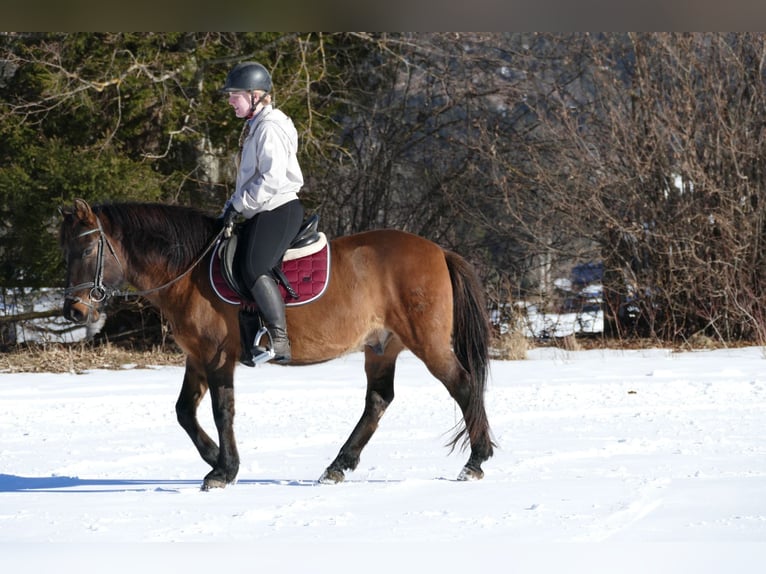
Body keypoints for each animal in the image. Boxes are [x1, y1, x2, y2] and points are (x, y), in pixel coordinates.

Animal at [57, 198, 496, 490]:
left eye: (89, 248)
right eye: (66, 249)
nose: (74, 311)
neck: (190, 269)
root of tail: (439, 250)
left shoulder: (217, 355)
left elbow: (223, 410)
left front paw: (223, 470)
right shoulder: (196, 356)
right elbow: (184, 411)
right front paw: (215, 458)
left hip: (428, 343)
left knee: (463, 385)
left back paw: (476, 461)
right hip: (381, 347)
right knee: (378, 401)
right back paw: (337, 466)